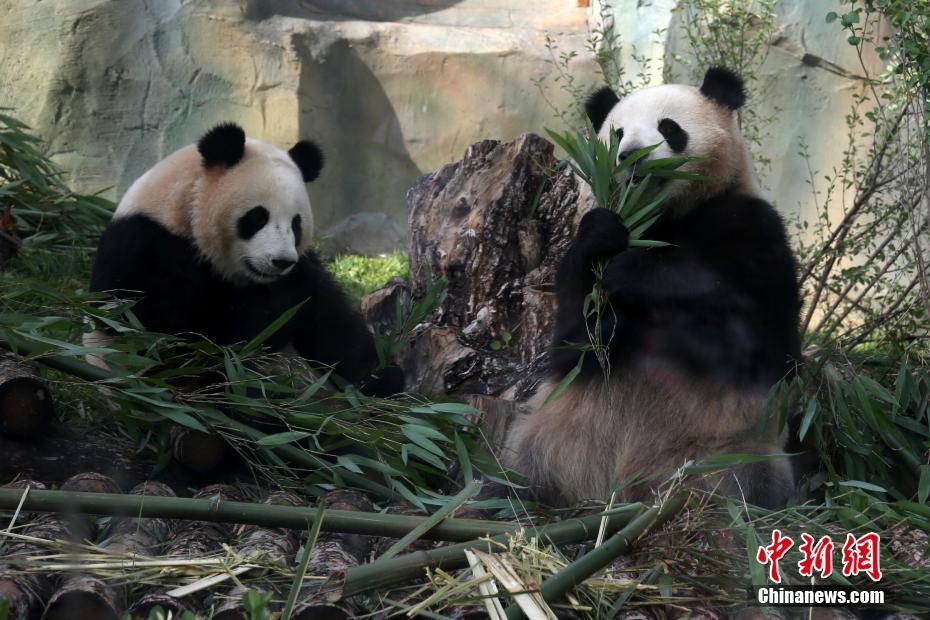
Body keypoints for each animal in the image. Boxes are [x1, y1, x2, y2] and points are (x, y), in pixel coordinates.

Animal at [87, 124, 402, 398]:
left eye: (296, 223)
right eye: (258, 217)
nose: (281, 261)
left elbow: (332, 327)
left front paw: (383, 381)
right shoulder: (149, 249)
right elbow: (180, 334)